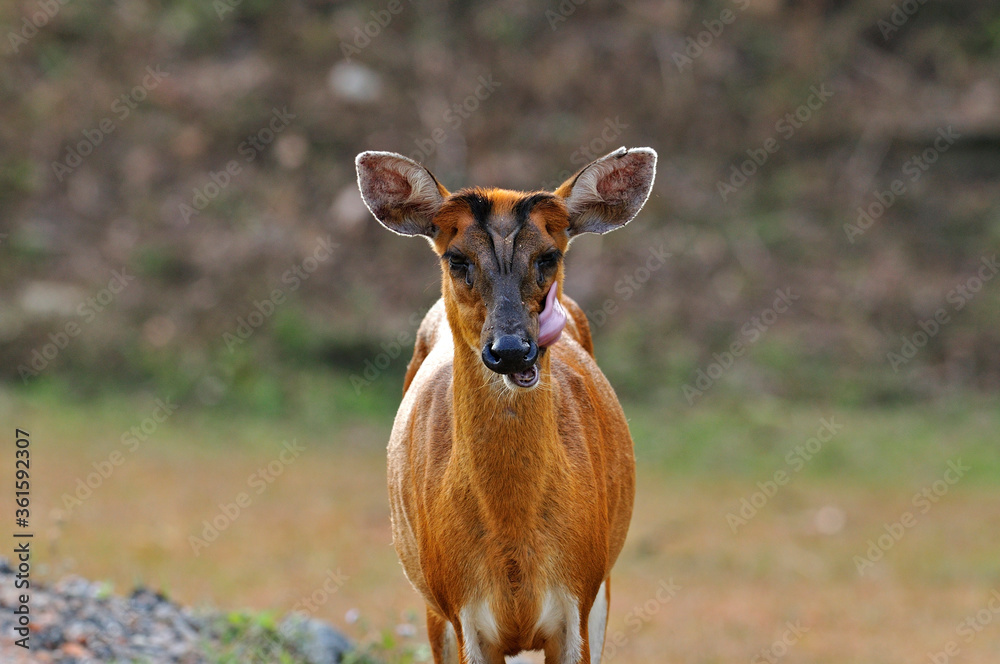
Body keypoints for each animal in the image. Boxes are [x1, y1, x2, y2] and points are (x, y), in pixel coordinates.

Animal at [358, 147, 656, 664]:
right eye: (457, 259)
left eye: (549, 257)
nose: (513, 349)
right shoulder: (459, 612)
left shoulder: (581, 598)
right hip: (430, 604)